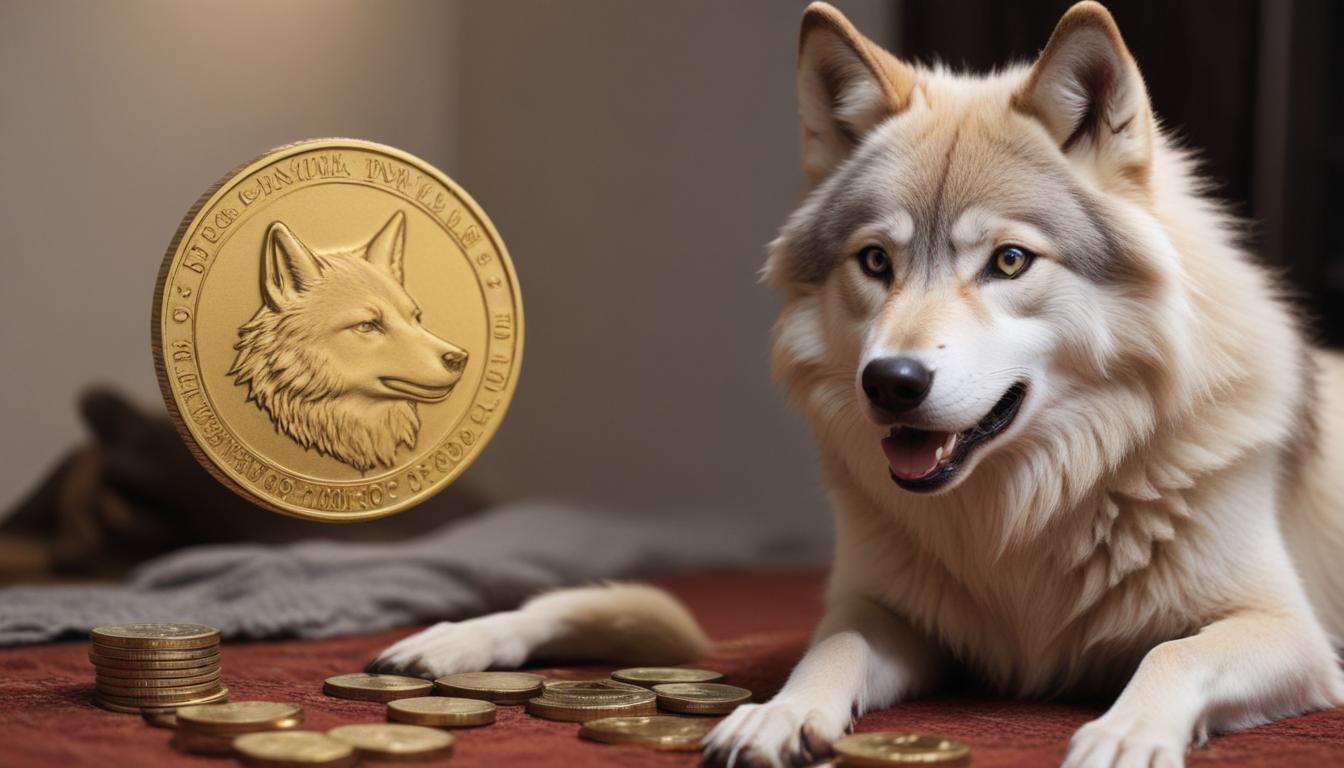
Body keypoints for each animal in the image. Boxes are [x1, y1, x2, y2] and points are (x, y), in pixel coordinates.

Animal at [370, 3, 1344, 766]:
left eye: (1009, 261)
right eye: (876, 260)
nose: (893, 382)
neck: (1025, 516)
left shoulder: (1293, 638)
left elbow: (1168, 656)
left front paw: (1123, 734)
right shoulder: (886, 615)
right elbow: (827, 652)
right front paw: (779, 716)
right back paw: (453, 639)